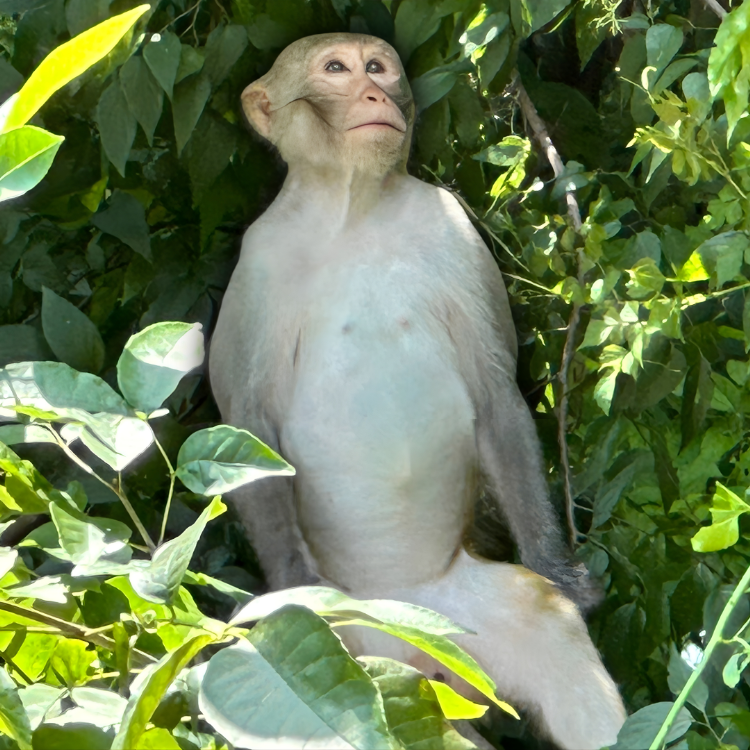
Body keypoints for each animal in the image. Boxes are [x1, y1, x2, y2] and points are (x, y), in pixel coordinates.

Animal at [209, 33, 626, 749]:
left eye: (377, 67)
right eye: (336, 69)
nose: (375, 94)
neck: (352, 211)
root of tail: (414, 647)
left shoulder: (449, 226)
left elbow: (492, 389)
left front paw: (556, 567)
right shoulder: (257, 265)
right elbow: (247, 432)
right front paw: (289, 588)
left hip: (458, 622)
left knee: (544, 624)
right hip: (351, 644)